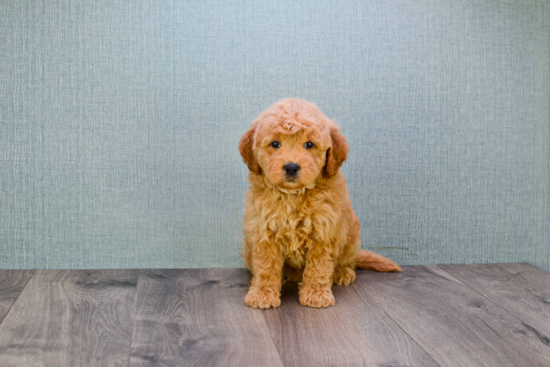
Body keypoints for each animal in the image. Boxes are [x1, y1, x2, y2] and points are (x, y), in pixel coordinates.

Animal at [237, 99, 402, 310]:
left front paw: (316, 295)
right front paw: (262, 294)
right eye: (275, 144)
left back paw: (342, 272)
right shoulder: (263, 231)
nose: (291, 167)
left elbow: (319, 267)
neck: (293, 195)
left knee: (348, 261)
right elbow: (266, 267)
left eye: (309, 144)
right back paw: (287, 274)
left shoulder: (324, 232)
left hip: (352, 232)